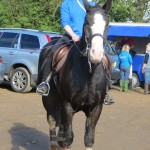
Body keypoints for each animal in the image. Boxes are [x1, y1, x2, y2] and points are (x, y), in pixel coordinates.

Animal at [38, 0, 112, 149]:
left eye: (107, 24)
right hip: (50, 101)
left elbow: (88, 139)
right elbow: (67, 139)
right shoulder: (67, 105)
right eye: (87, 22)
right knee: (53, 124)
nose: (96, 54)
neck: (88, 73)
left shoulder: (96, 108)